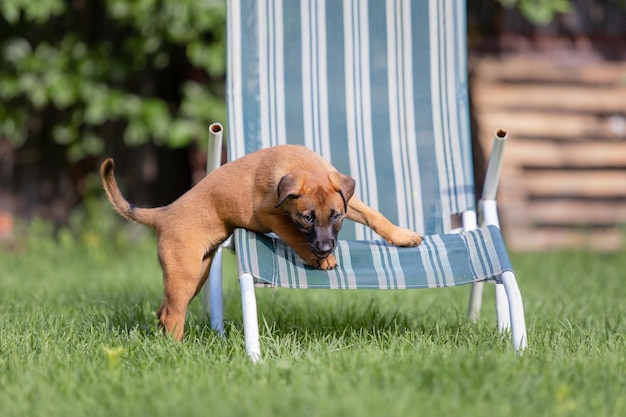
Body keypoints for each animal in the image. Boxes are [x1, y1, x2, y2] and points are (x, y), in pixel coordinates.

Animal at [101, 145, 420, 340]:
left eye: (336, 217)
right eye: (307, 218)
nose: (326, 248)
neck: (298, 164)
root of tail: (164, 213)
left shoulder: (347, 200)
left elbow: (373, 215)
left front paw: (402, 235)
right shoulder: (271, 214)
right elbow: (295, 236)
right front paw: (318, 259)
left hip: (197, 273)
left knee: (165, 310)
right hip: (185, 273)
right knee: (172, 314)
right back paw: (176, 349)